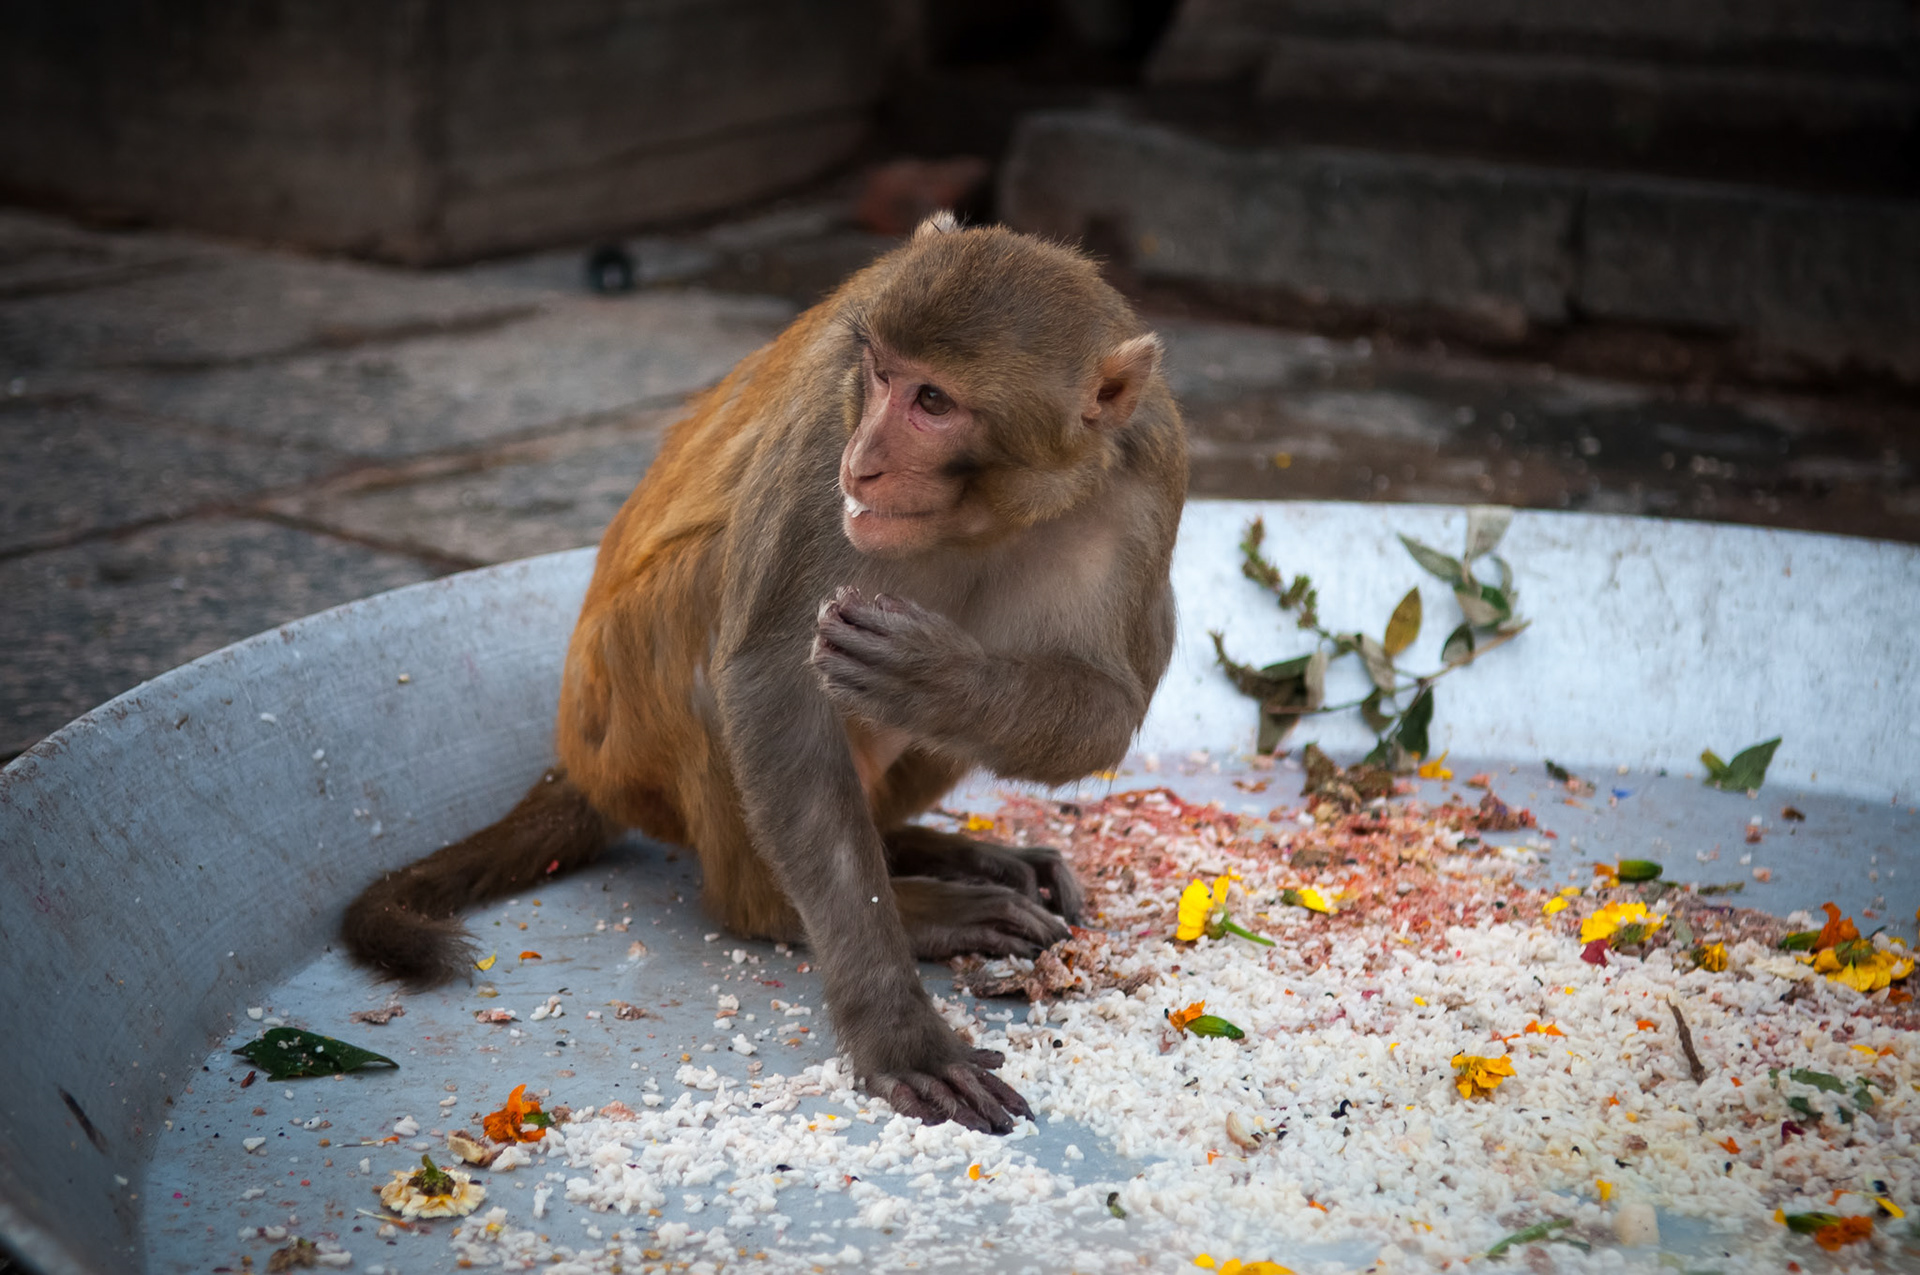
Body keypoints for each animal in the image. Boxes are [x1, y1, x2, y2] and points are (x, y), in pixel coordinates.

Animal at [343, 213, 1188, 1133]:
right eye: (881, 376)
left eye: (934, 402)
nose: (864, 462)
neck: (991, 510)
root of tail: (583, 761)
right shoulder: (827, 416)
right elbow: (768, 680)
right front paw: (898, 1030)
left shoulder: (1146, 479)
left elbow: (1111, 706)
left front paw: (939, 679)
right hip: (627, 724)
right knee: (715, 615)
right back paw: (834, 904)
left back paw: (932, 849)